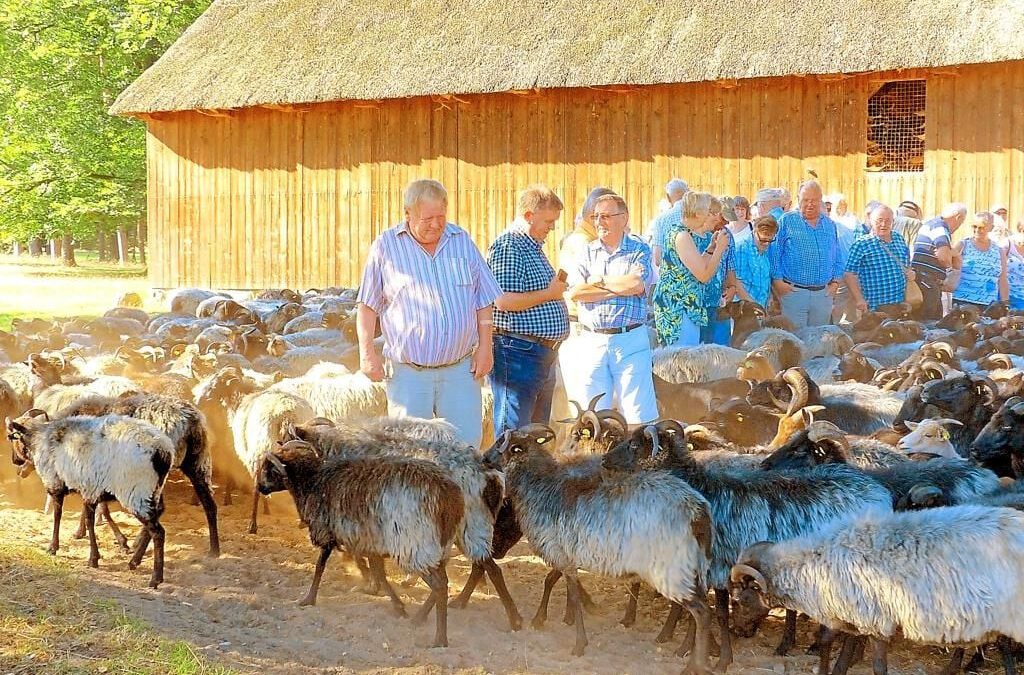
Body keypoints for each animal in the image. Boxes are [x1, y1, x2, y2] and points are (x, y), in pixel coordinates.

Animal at [256, 438, 464, 651]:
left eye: (268, 469)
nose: (259, 488)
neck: (312, 482)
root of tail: (450, 497)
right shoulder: (369, 542)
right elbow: (379, 575)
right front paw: (397, 607)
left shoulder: (329, 532)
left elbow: (320, 567)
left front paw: (308, 599)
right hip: (438, 546)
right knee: (443, 581)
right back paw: (419, 618)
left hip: (415, 545)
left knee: (439, 585)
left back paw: (439, 638)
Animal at [483, 422, 716, 671]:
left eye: (500, 443)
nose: (484, 457)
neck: (539, 485)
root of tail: (698, 511)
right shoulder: (568, 555)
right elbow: (557, 584)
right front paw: (548, 620)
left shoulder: (561, 554)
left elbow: (571, 594)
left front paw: (578, 643)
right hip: (694, 566)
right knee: (702, 608)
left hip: (672, 569)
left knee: (702, 612)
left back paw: (696, 665)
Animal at [602, 422, 892, 663]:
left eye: (634, 444)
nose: (604, 459)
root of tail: (879, 491)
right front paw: (695, 648)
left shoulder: (717, 566)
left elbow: (716, 613)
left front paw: (718, 657)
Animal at [733, 508, 1024, 675]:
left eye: (742, 600)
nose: (736, 631)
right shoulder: (856, 615)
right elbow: (836, 646)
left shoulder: (875, 620)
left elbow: (876, 665)